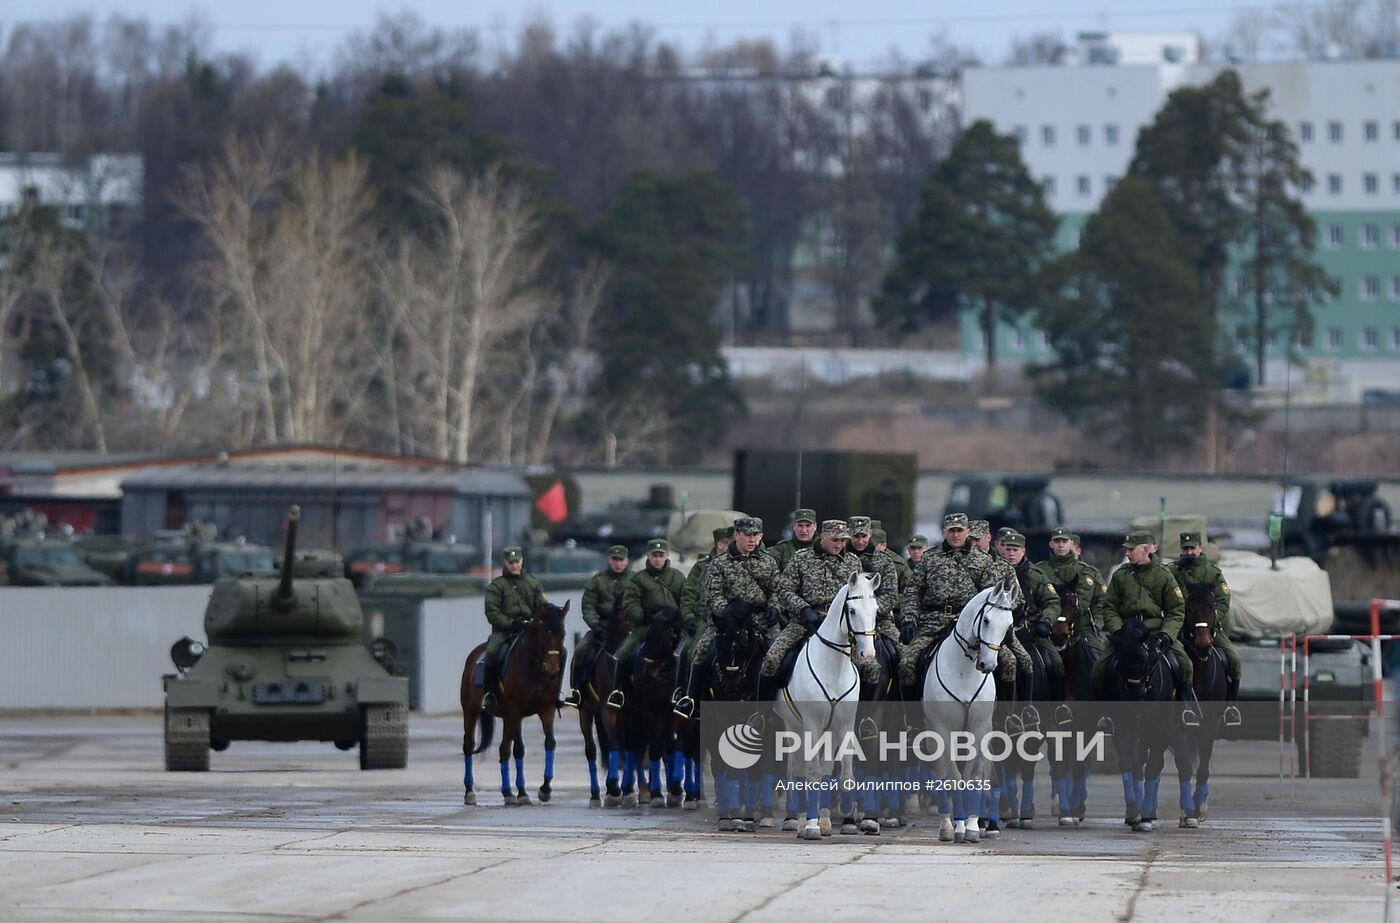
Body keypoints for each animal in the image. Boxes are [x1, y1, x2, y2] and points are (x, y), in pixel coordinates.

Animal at [462, 602, 565, 806]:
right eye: (544, 634)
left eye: (563, 634)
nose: (552, 669)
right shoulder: (516, 712)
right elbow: (519, 749)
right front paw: (523, 792)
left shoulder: (546, 710)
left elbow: (550, 743)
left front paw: (545, 789)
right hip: (471, 710)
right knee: (469, 745)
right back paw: (470, 791)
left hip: (506, 719)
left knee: (503, 750)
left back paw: (507, 792)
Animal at [778, 574, 873, 840]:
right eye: (852, 610)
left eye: (876, 609)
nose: (867, 654)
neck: (833, 668)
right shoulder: (812, 724)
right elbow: (813, 772)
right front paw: (812, 825)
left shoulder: (843, 725)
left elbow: (841, 771)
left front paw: (831, 818)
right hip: (793, 727)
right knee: (798, 769)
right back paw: (800, 820)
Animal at [918, 585, 1019, 845]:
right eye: (986, 620)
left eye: (1009, 625)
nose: (988, 665)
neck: (963, 670)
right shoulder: (943, 729)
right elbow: (952, 776)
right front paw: (958, 827)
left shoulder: (980, 728)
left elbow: (974, 775)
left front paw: (973, 827)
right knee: (942, 772)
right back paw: (948, 824)